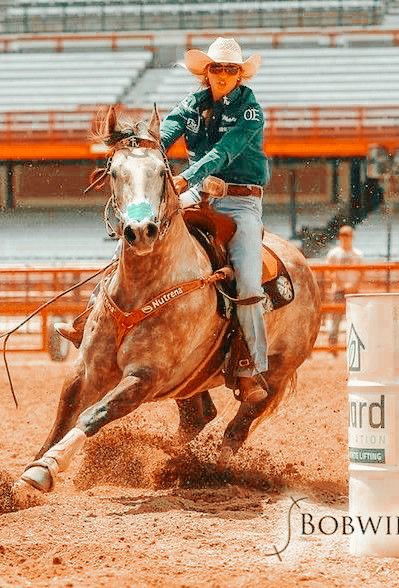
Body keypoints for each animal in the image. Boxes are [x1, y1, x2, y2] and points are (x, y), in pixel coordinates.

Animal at [16, 103, 322, 494]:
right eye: (114, 172)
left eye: (161, 172)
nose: (140, 230)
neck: (143, 289)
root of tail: (304, 266)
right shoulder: (86, 367)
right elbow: (64, 414)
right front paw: (26, 475)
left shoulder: (146, 376)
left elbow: (95, 413)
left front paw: (46, 469)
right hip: (191, 379)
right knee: (198, 417)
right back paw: (167, 459)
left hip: (275, 376)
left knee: (236, 429)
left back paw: (208, 470)